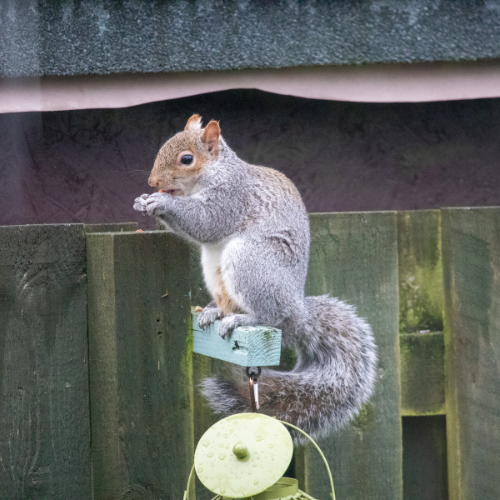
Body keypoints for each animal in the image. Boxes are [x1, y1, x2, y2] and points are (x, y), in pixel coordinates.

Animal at [133, 114, 376, 442]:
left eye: (186, 159)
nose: (153, 183)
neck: (214, 174)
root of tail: (298, 312)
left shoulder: (230, 199)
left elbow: (206, 222)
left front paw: (162, 204)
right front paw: (143, 200)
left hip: (250, 262)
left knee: (271, 316)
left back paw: (243, 318)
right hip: (214, 267)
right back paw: (215, 311)